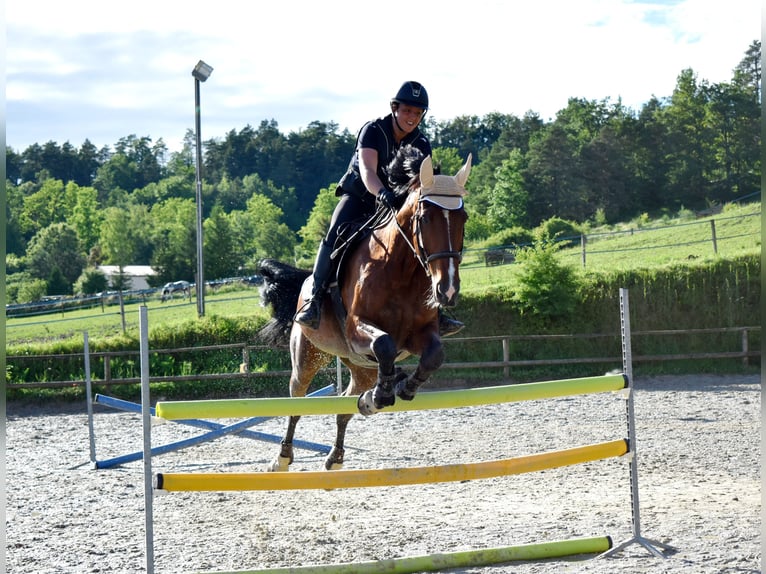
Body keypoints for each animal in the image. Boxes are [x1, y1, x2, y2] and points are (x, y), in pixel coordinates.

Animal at [260, 147, 472, 472]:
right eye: (425, 219)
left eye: (464, 217)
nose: (447, 291)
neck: (402, 271)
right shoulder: (358, 328)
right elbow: (384, 343)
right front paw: (385, 393)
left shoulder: (420, 334)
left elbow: (434, 355)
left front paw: (404, 387)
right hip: (308, 355)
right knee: (297, 400)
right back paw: (282, 457)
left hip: (361, 368)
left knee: (347, 403)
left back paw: (338, 453)